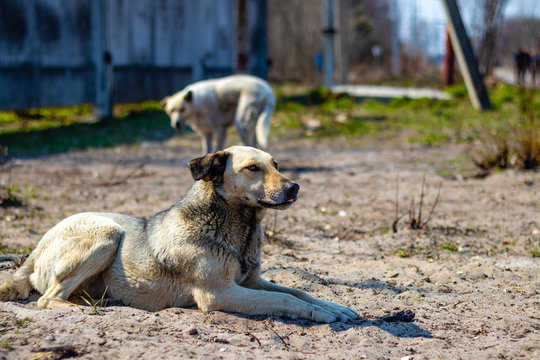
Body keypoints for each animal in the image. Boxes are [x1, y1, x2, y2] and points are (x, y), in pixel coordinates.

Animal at [0, 146, 358, 324]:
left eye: (276, 164)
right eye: (252, 168)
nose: (295, 187)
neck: (238, 226)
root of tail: (35, 250)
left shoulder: (252, 282)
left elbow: (299, 292)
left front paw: (335, 307)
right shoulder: (218, 294)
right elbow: (285, 299)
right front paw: (322, 314)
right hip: (107, 233)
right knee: (48, 299)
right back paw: (92, 309)